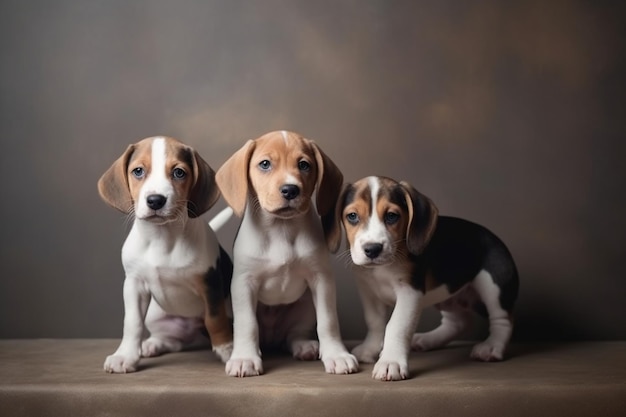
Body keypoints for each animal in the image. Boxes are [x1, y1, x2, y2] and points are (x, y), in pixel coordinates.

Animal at [97, 135, 234, 372]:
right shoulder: (134, 284)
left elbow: (215, 318)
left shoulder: (210, 283)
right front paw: (125, 355)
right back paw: (153, 344)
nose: (155, 200)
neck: (161, 238)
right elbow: (132, 322)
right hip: (155, 314)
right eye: (138, 171)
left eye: (179, 172)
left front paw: (226, 349)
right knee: (173, 341)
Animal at [217, 130, 358, 376]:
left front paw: (336, 355)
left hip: (305, 306)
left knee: (294, 335)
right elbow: (247, 324)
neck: (280, 229)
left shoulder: (321, 280)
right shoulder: (243, 283)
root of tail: (272, 340)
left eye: (304, 165)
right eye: (265, 164)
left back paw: (304, 346)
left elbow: (328, 321)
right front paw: (244, 357)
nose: (290, 189)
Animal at [330, 176, 520, 380]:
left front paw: (391, 361)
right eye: (352, 216)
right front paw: (370, 349)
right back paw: (427, 340)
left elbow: (396, 326)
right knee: (457, 322)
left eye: (392, 216)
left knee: (503, 320)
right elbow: (375, 322)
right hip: (447, 294)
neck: (384, 268)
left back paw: (491, 347)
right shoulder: (368, 291)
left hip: (494, 286)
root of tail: (496, 239)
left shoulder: (409, 292)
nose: (372, 249)